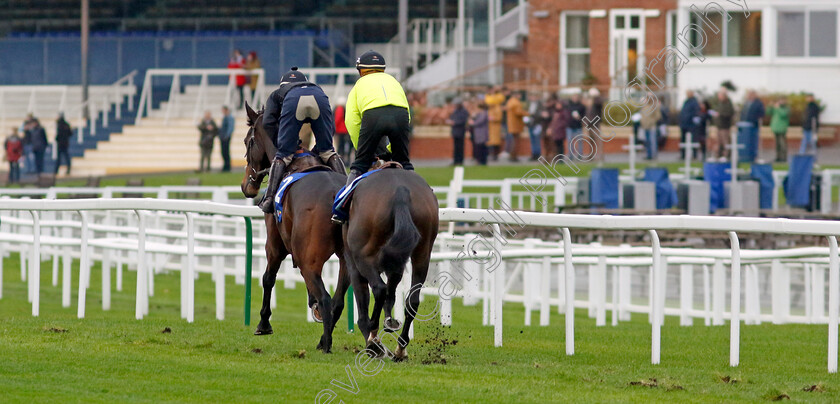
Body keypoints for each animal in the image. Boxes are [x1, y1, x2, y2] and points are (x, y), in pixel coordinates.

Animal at [241, 102, 350, 352]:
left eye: (247, 141)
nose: (246, 186)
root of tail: (336, 198)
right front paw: (311, 304)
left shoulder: (275, 244)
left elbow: (268, 278)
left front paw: (263, 323)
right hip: (348, 261)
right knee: (337, 301)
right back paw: (323, 340)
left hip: (311, 259)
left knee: (327, 297)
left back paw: (326, 344)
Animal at [334, 169, 440, 362]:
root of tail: (400, 192)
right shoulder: (397, 260)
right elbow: (392, 292)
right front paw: (390, 322)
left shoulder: (353, 262)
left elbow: (363, 298)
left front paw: (372, 341)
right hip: (423, 253)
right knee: (412, 300)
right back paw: (400, 348)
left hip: (362, 257)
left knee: (379, 289)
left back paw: (373, 339)